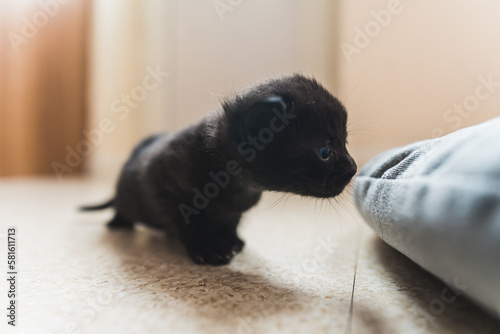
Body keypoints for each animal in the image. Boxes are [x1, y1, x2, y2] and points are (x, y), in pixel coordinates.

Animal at [81, 74, 356, 264]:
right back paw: (118, 222)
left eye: (345, 143)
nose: (353, 168)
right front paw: (207, 248)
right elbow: (191, 224)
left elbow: (230, 223)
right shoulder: (166, 189)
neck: (239, 186)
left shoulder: (235, 211)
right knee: (122, 208)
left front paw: (231, 241)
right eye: (325, 152)